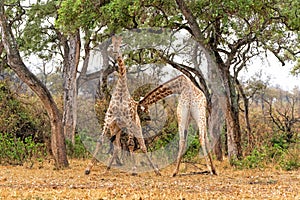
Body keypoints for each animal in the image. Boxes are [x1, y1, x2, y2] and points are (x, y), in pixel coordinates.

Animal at [84, 36, 162, 176]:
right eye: (112, 43)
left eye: (120, 43)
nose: (115, 51)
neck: (120, 92)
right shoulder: (109, 120)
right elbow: (100, 141)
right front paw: (88, 168)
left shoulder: (128, 121)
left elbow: (131, 144)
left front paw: (134, 169)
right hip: (117, 129)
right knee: (117, 147)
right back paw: (107, 169)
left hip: (136, 127)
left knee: (142, 146)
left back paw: (156, 171)